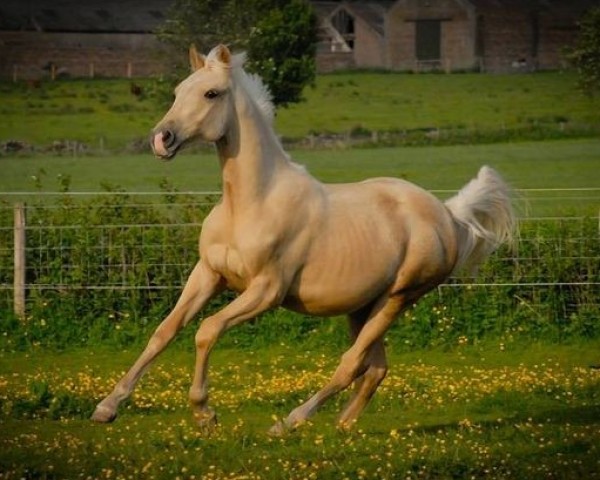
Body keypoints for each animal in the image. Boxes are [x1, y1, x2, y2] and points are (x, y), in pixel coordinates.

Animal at [91, 46, 512, 436]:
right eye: (178, 91)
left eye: (212, 93)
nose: (161, 140)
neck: (250, 202)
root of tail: (448, 215)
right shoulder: (208, 274)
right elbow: (165, 331)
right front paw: (107, 408)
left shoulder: (265, 291)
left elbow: (206, 329)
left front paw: (204, 413)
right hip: (363, 306)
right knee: (375, 368)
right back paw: (341, 426)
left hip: (397, 299)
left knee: (351, 364)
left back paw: (289, 423)